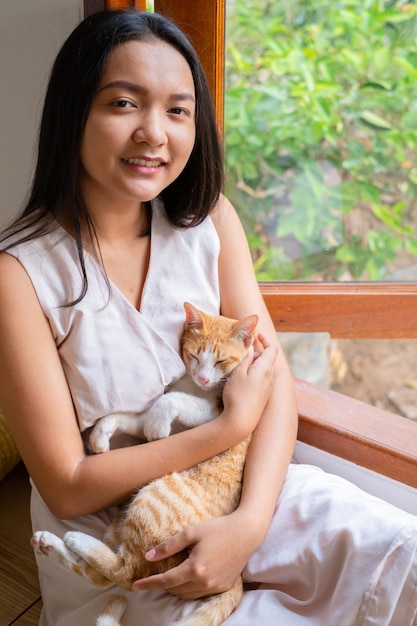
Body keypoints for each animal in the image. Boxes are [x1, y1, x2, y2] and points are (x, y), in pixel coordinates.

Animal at [32, 302, 258, 624]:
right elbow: (133, 416)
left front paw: (157, 426)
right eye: (194, 356)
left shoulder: (217, 413)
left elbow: (171, 401)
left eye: (221, 361)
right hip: (121, 522)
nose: (203, 378)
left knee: (126, 573)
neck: (195, 386)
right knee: (107, 576)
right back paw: (50, 543)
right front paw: (102, 433)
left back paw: (76, 541)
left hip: (152, 499)